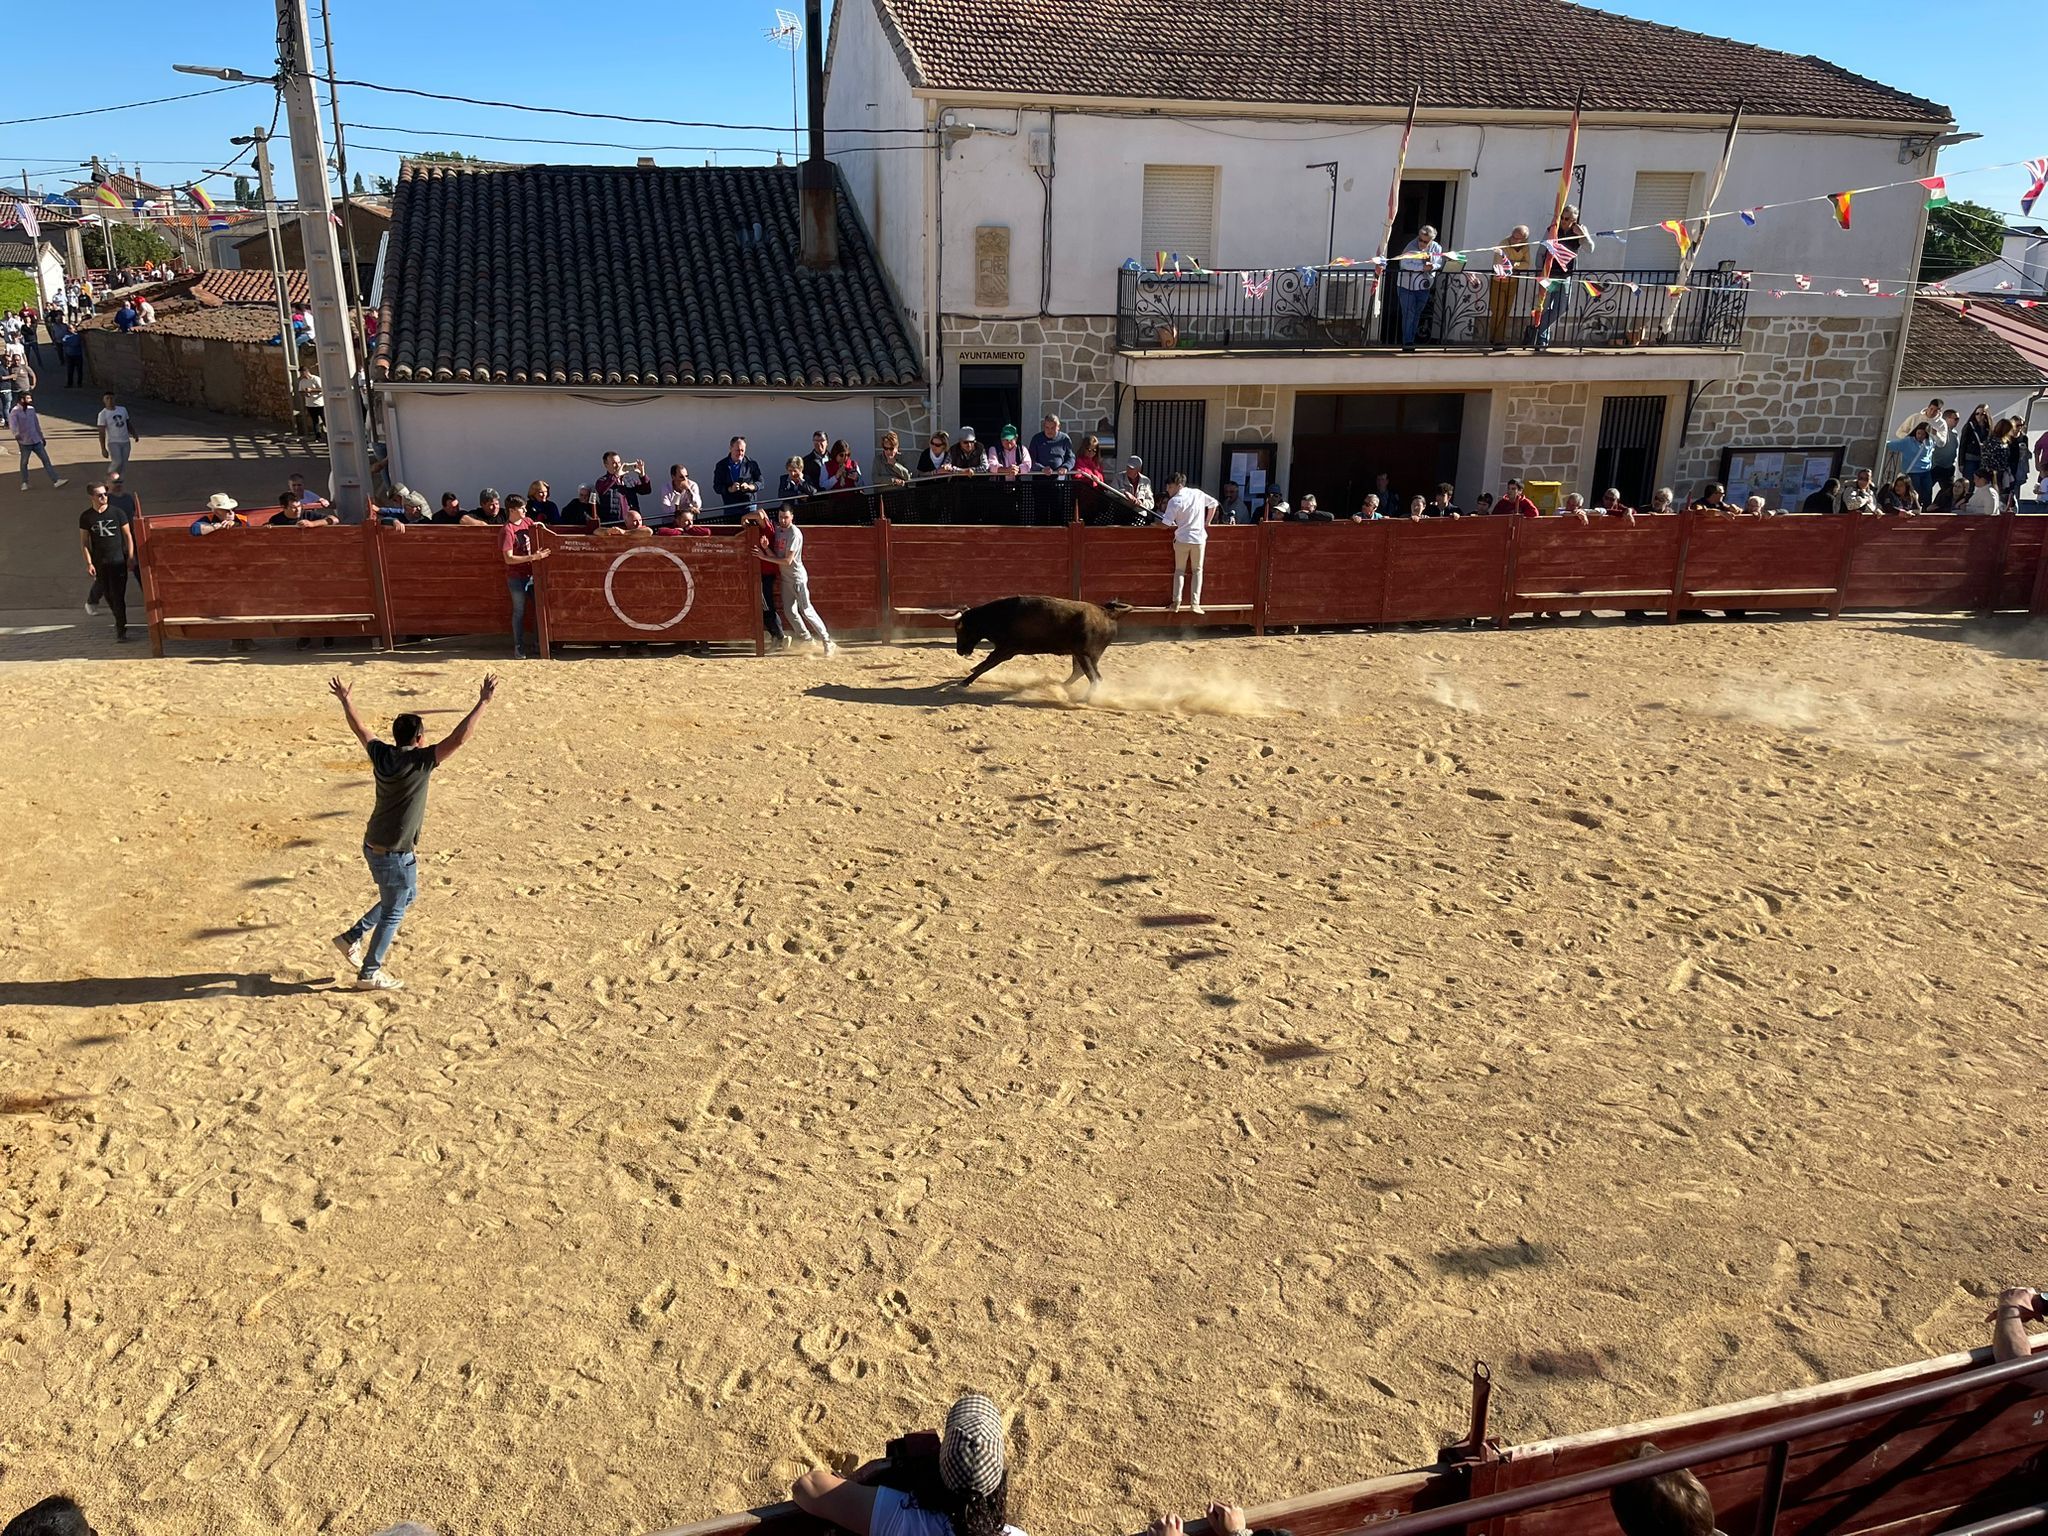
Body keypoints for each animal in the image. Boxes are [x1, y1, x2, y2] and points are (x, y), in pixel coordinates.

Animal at [946, 598, 1130, 700]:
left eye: (960, 630)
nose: (960, 651)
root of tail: (1107, 612)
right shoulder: (1002, 650)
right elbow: (985, 663)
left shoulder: (1007, 650)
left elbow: (987, 664)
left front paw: (965, 681)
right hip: (1081, 655)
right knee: (1078, 673)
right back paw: (1059, 686)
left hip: (1085, 655)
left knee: (1095, 678)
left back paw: (1085, 698)